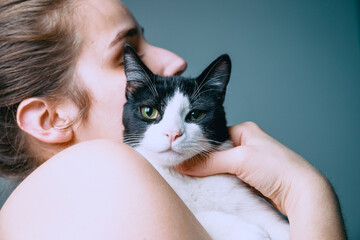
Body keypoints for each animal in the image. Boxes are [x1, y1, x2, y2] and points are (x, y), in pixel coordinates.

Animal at [122, 43, 288, 240]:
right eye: (149, 111)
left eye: (195, 114)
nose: (172, 133)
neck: (184, 178)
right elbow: (191, 215)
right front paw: (246, 231)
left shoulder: (246, 201)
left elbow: (277, 224)